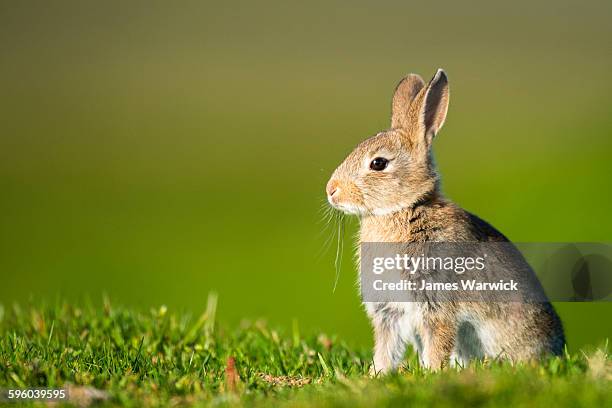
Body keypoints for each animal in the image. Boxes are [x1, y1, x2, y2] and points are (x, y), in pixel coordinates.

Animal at [326, 69, 564, 372]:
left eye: (378, 163)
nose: (331, 190)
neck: (406, 209)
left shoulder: (436, 302)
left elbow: (437, 341)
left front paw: (432, 372)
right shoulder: (388, 310)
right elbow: (386, 347)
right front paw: (378, 374)